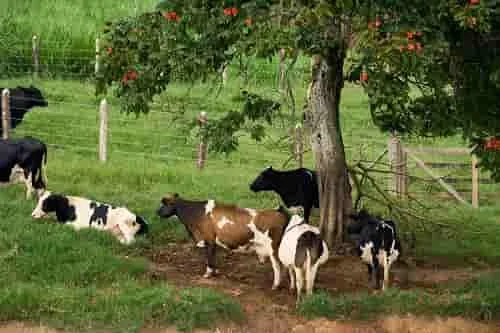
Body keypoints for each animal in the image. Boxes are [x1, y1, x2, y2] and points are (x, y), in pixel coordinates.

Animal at [156, 193, 290, 290]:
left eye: (164, 204)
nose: (156, 212)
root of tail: (279, 211)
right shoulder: (213, 242)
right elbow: (213, 257)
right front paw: (215, 272)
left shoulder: (209, 239)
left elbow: (209, 258)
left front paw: (208, 274)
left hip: (273, 248)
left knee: (278, 266)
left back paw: (275, 286)